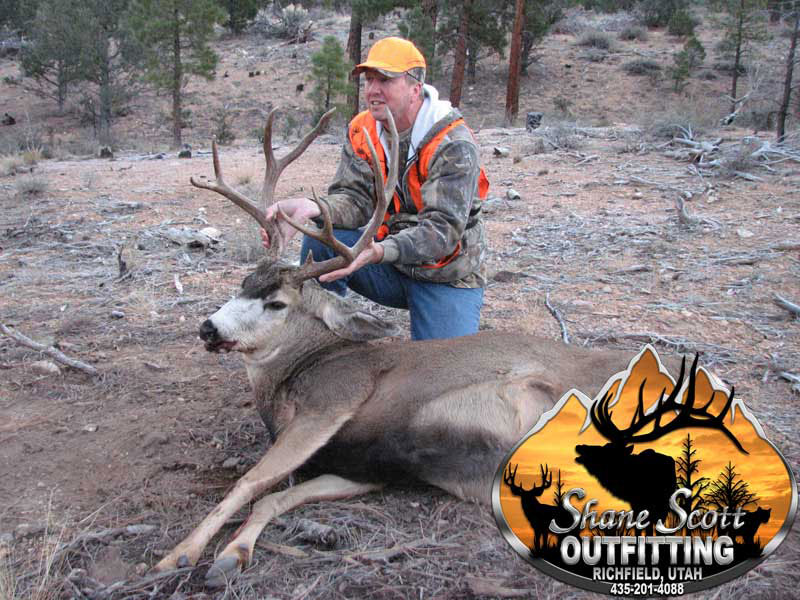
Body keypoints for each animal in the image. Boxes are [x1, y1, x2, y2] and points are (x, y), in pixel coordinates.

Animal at [152, 107, 643, 587]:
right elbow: (272, 499)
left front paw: (177, 555)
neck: (296, 373)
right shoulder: (364, 470)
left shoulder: (329, 403)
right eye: (242, 283)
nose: (208, 328)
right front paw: (229, 557)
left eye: (276, 303)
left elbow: (249, 483)